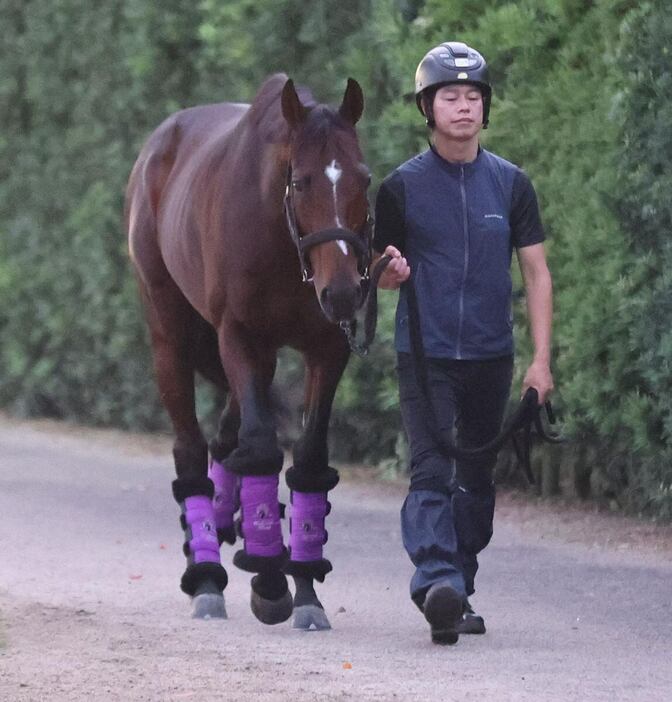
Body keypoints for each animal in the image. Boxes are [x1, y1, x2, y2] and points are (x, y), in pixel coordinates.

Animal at [123, 74, 370, 628]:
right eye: (302, 181)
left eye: (364, 178)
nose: (345, 292)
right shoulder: (236, 334)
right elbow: (259, 446)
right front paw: (271, 578)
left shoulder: (325, 347)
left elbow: (309, 455)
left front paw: (303, 588)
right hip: (169, 333)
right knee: (193, 447)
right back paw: (207, 573)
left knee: (225, 438)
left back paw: (220, 525)